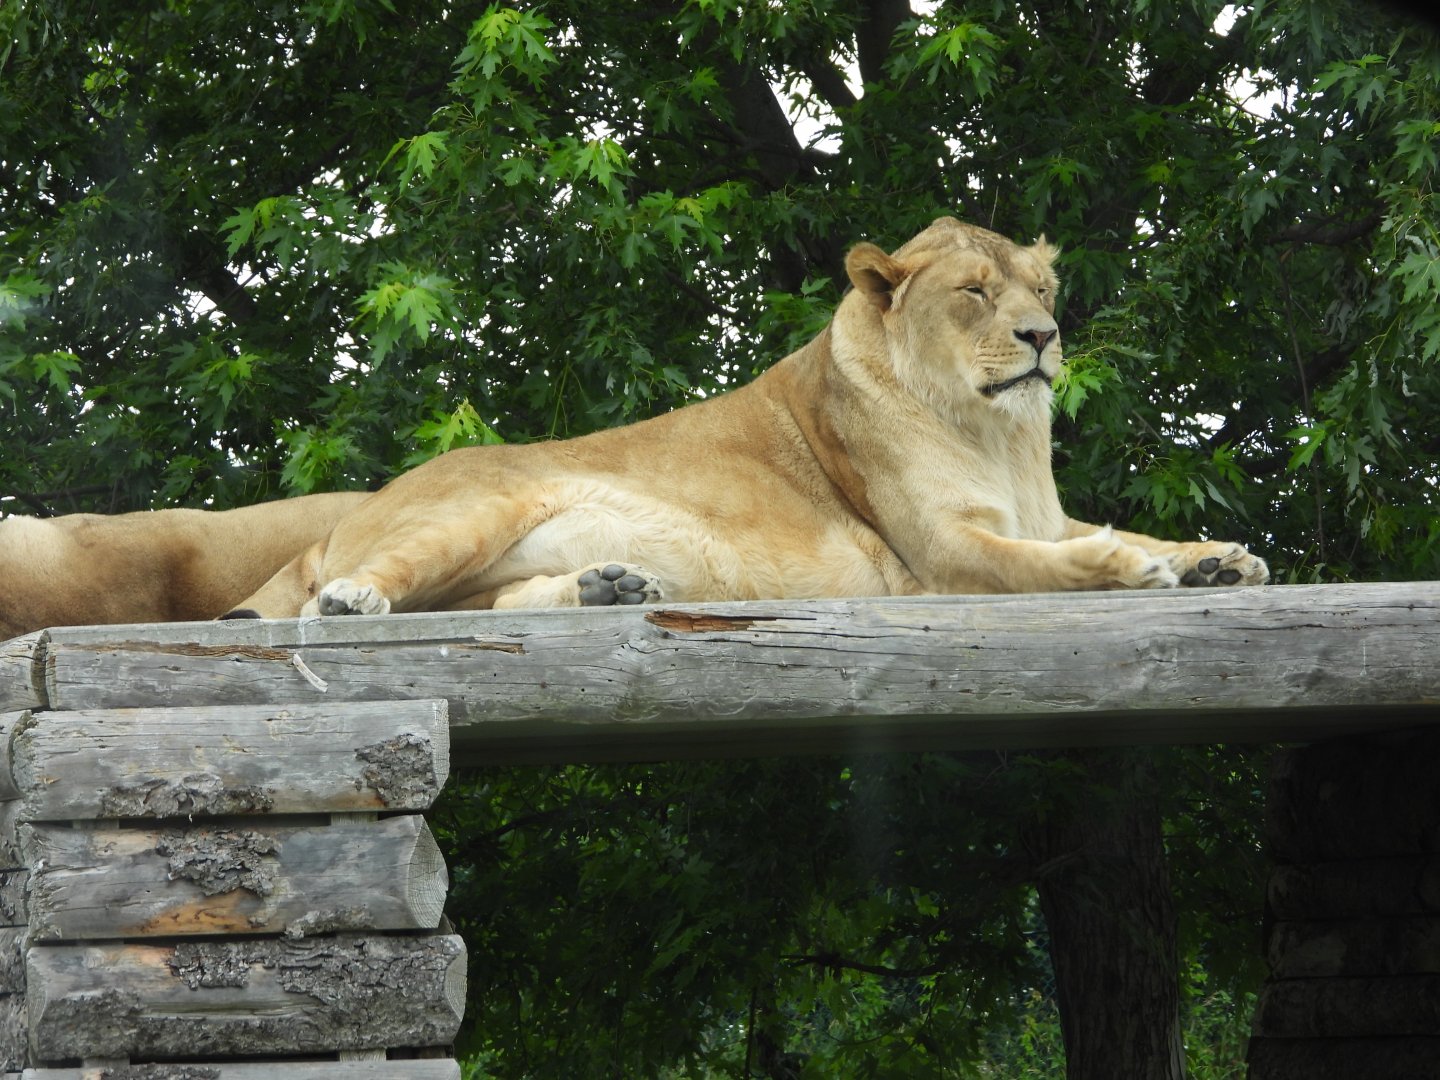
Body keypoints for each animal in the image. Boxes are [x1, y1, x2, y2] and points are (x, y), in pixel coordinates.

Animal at [227, 217, 1267, 621]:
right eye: (974, 292)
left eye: (1043, 289)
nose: (1043, 336)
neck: (999, 436)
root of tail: (354, 511)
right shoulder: (940, 552)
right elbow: (1049, 564)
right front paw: (1128, 570)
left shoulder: (1040, 514)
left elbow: (1114, 529)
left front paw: (1217, 559)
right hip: (467, 511)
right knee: (348, 596)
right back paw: (353, 599)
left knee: (493, 603)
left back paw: (609, 588)